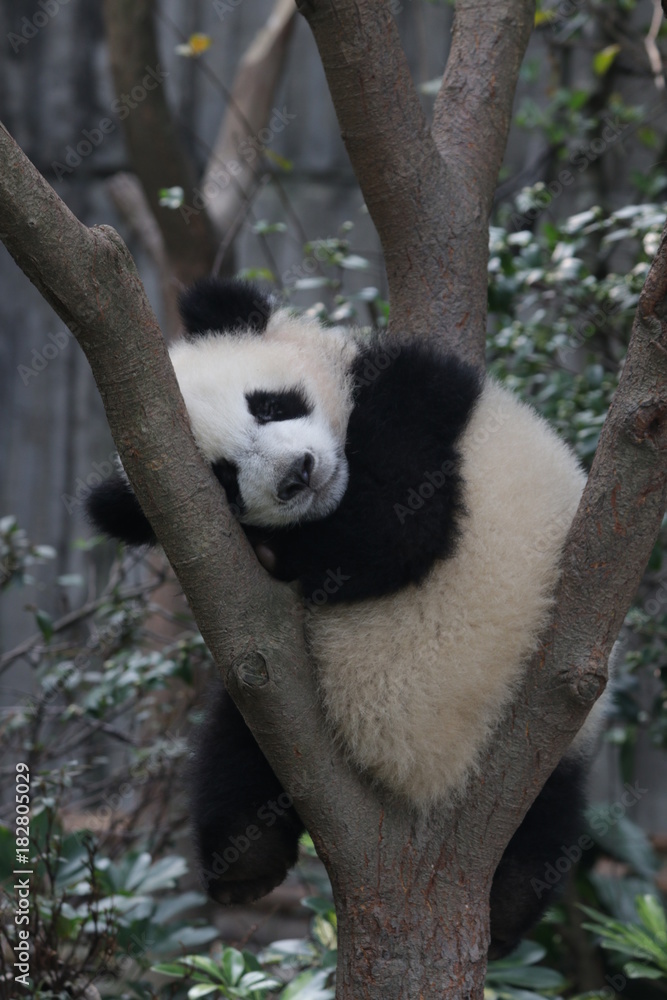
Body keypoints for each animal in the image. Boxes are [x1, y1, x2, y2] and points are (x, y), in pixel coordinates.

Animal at [86, 277, 603, 959]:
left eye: (269, 405)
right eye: (223, 479)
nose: (295, 476)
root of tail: (423, 770)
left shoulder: (420, 394)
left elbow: (399, 523)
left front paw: (285, 550)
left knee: (549, 805)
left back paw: (507, 903)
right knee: (241, 736)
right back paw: (245, 864)